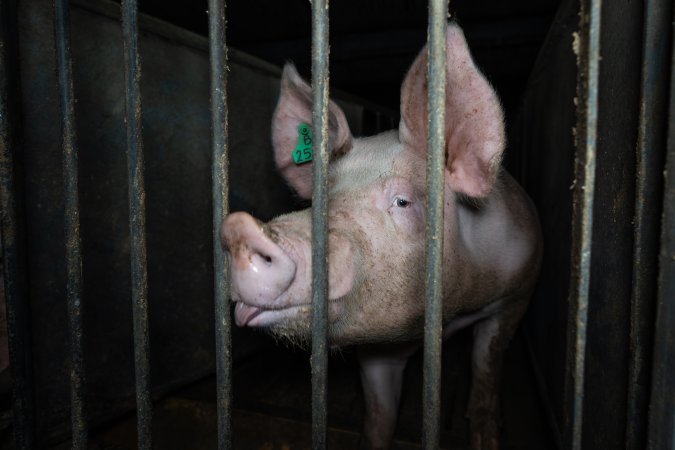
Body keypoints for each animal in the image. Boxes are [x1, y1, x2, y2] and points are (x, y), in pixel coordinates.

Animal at [221, 23, 542, 450]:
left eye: (403, 201)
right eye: (321, 198)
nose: (239, 229)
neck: (446, 315)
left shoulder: (516, 293)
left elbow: (486, 366)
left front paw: (485, 436)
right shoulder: (376, 349)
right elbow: (379, 414)